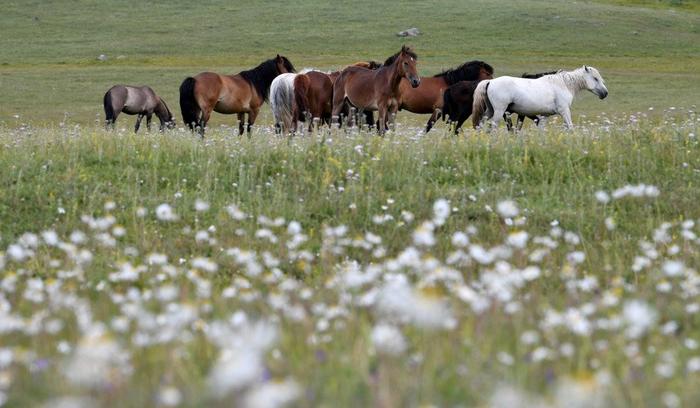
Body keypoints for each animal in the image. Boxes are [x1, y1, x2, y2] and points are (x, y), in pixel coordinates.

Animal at [470, 65, 608, 129]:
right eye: (595, 78)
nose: (605, 93)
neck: (562, 84)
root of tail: (490, 82)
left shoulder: (544, 115)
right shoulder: (564, 111)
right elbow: (570, 127)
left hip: (490, 111)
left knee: (481, 123)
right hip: (499, 111)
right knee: (492, 126)